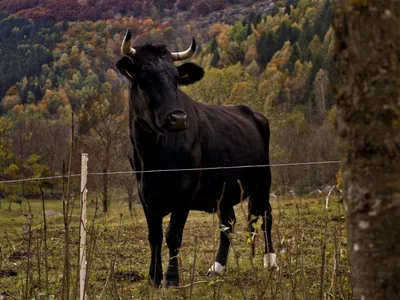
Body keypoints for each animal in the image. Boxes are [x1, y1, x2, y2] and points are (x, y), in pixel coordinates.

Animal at [115, 29, 278, 288]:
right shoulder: (145, 195)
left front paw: (171, 280)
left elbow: (173, 235)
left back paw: (270, 261)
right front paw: (153, 278)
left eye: (175, 79)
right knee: (228, 223)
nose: (179, 118)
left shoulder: (185, 192)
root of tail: (252, 112)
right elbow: (154, 237)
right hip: (225, 190)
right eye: (145, 77)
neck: (152, 156)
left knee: (265, 215)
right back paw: (217, 267)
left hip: (263, 180)